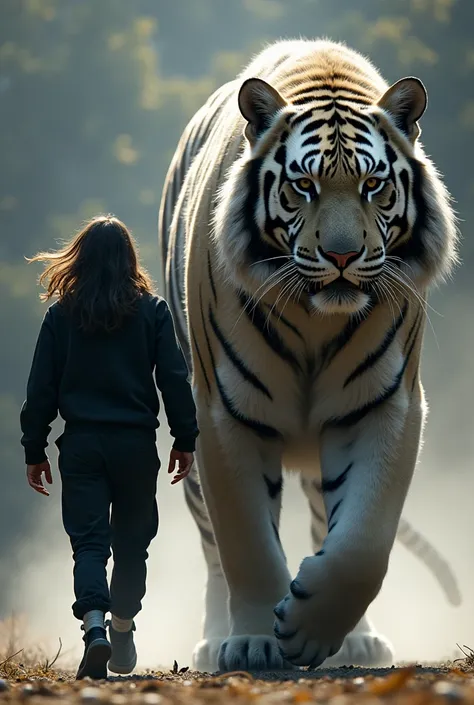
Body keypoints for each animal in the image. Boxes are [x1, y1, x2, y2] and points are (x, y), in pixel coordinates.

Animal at [158, 37, 460, 672]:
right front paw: (253, 642)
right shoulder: (223, 411)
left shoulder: (386, 405)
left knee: (328, 522)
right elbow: (245, 540)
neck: (315, 319)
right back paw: (213, 641)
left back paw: (358, 639)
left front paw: (311, 629)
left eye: (373, 186)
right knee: (212, 548)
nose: (342, 256)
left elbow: (363, 539)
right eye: (303, 187)